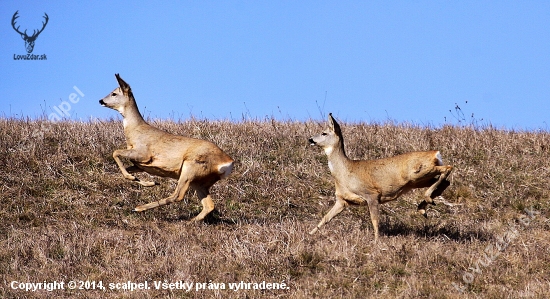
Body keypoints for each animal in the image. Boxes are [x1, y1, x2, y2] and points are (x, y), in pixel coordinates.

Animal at [100, 73, 234, 221]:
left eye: (114, 93)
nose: (101, 101)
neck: (135, 132)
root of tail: (227, 163)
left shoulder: (143, 154)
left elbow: (115, 152)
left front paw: (137, 180)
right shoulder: (140, 165)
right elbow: (125, 170)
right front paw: (150, 183)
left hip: (191, 167)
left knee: (178, 195)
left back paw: (139, 208)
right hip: (201, 181)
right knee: (209, 205)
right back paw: (191, 221)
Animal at [308, 113, 454, 243]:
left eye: (324, 133)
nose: (310, 139)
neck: (345, 172)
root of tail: (436, 154)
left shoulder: (371, 194)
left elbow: (375, 220)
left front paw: (376, 241)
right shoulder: (342, 200)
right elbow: (325, 218)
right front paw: (309, 234)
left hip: (418, 173)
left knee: (448, 168)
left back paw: (427, 199)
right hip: (418, 180)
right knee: (445, 181)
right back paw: (423, 206)